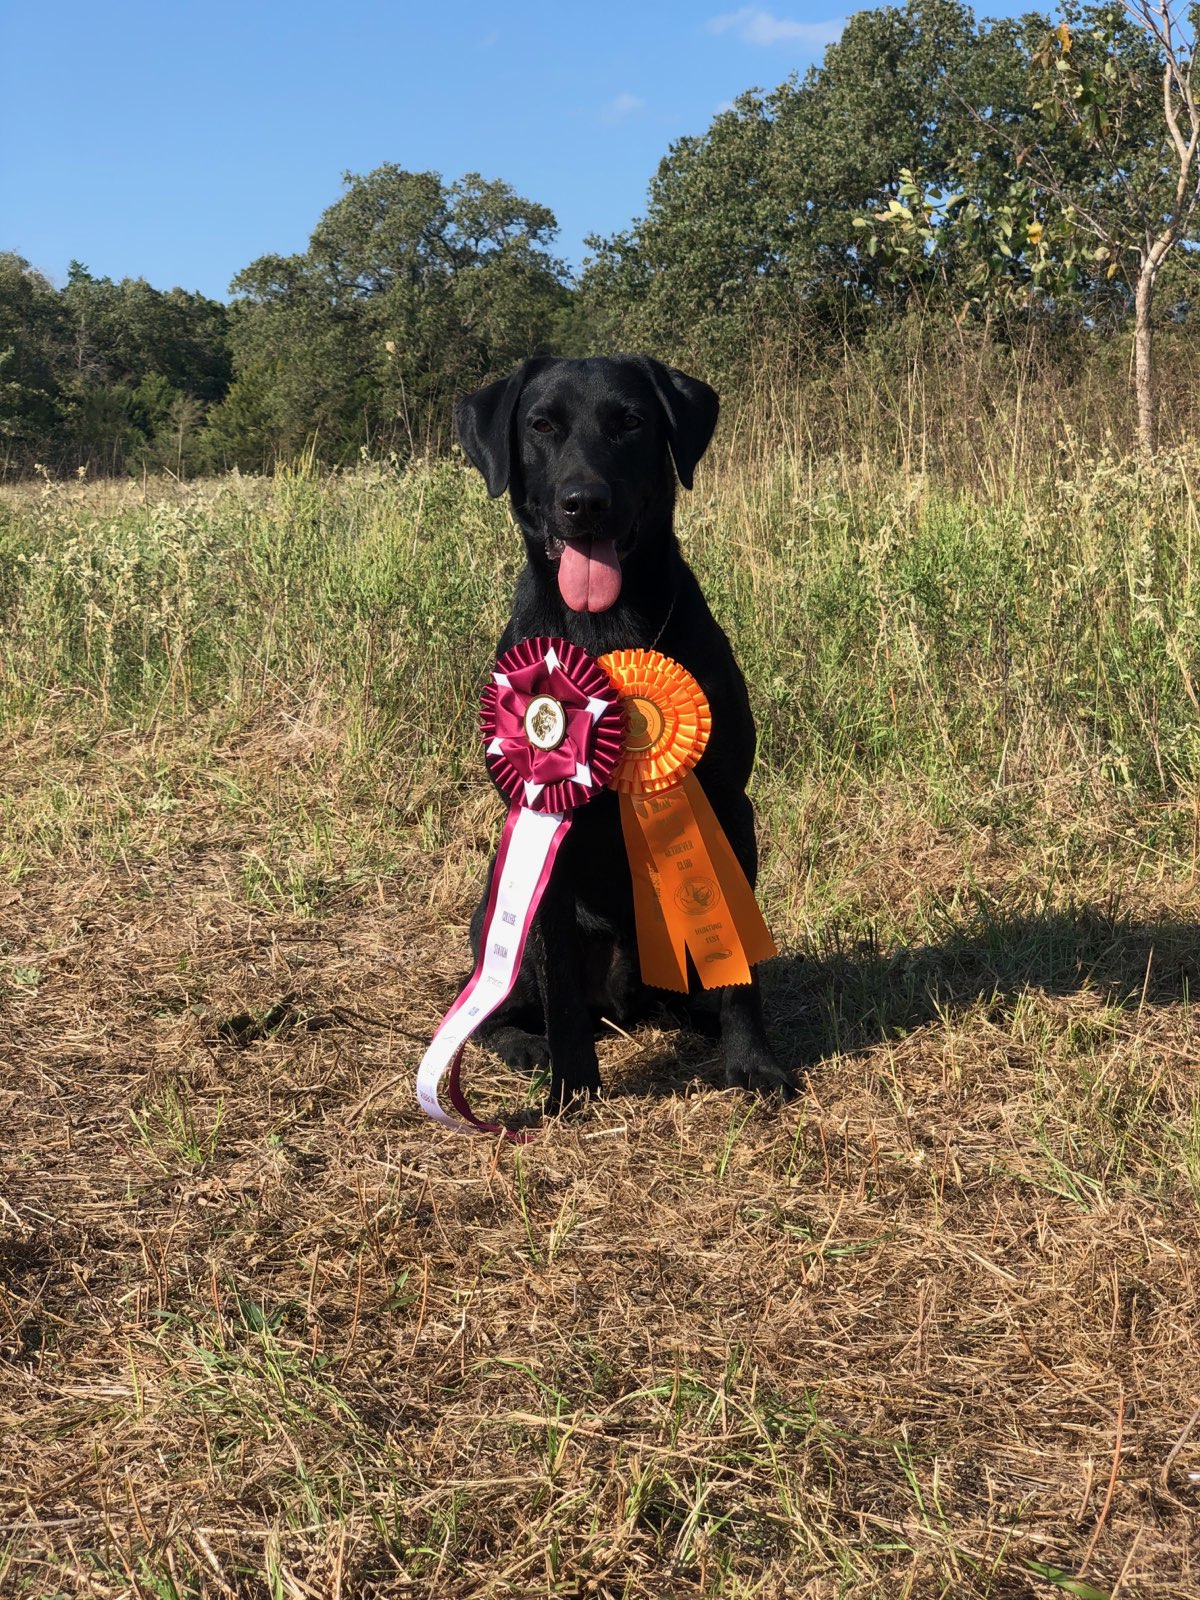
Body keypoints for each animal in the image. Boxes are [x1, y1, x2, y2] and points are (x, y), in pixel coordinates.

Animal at [454, 358, 790, 1113]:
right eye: (541, 424)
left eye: (631, 421)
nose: (585, 503)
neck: (607, 631)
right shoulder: (542, 821)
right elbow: (559, 995)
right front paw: (570, 1091)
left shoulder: (728, 806)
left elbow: (742, 974)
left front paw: (752, 1061)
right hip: (499, 911)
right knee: (500, 1006)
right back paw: (525, 1045)